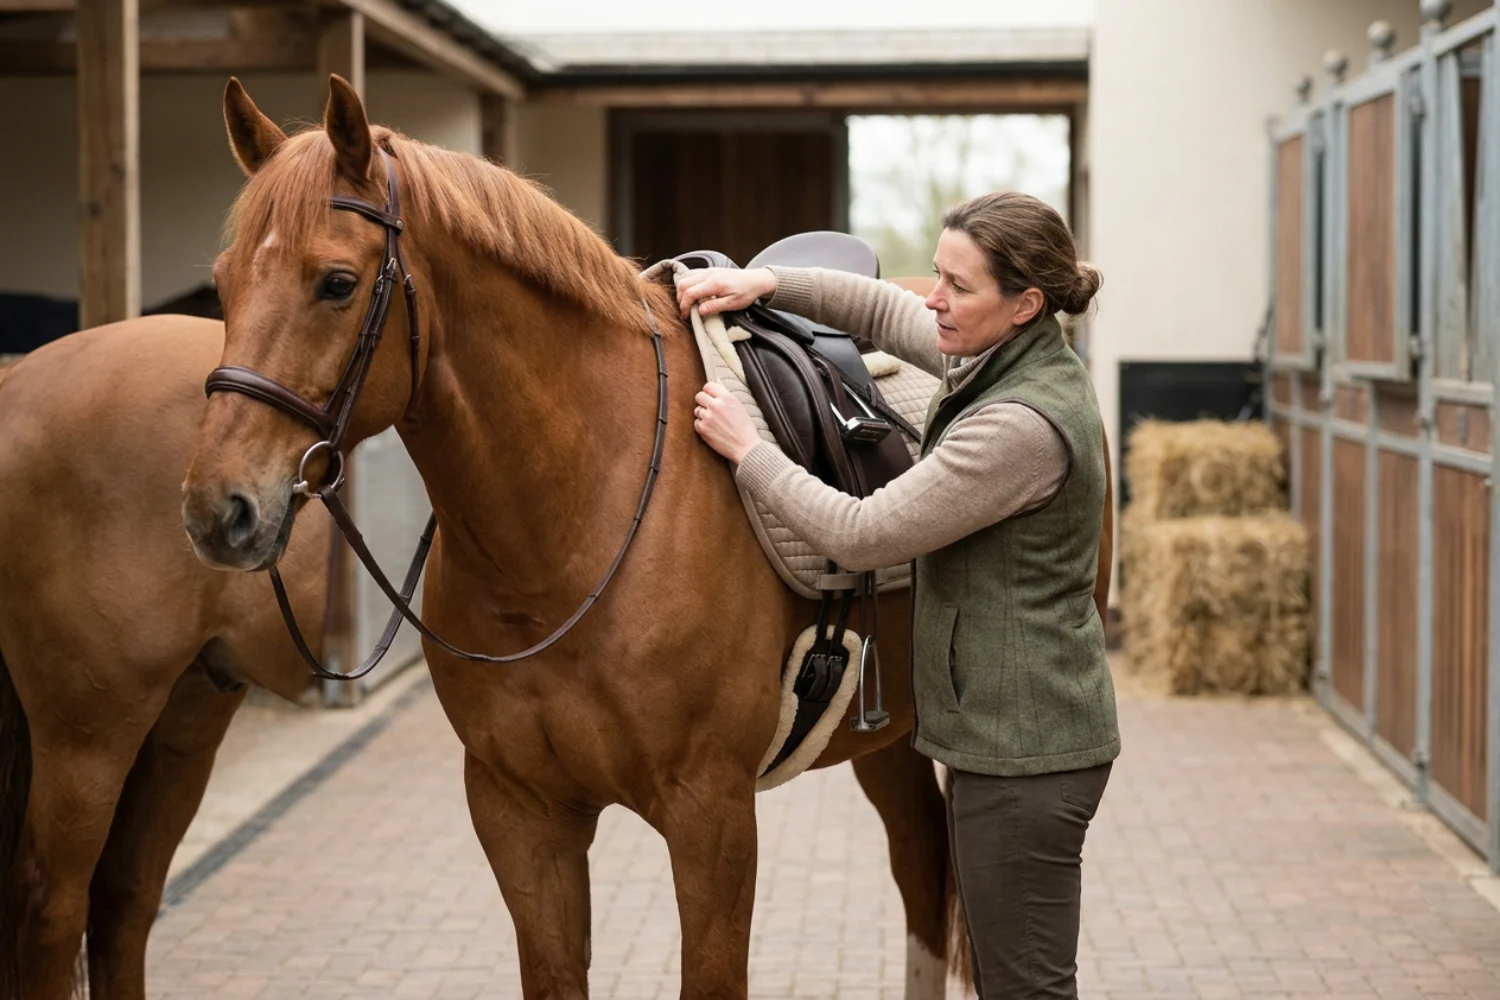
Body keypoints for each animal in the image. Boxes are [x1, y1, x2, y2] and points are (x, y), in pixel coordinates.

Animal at [179, 75, 1113, 999]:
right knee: (923, 865)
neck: (571, 532)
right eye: (221, 285)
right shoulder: (520, 815)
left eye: (337, 282)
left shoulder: (712, 819)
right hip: (885, 729)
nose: (218, 508)